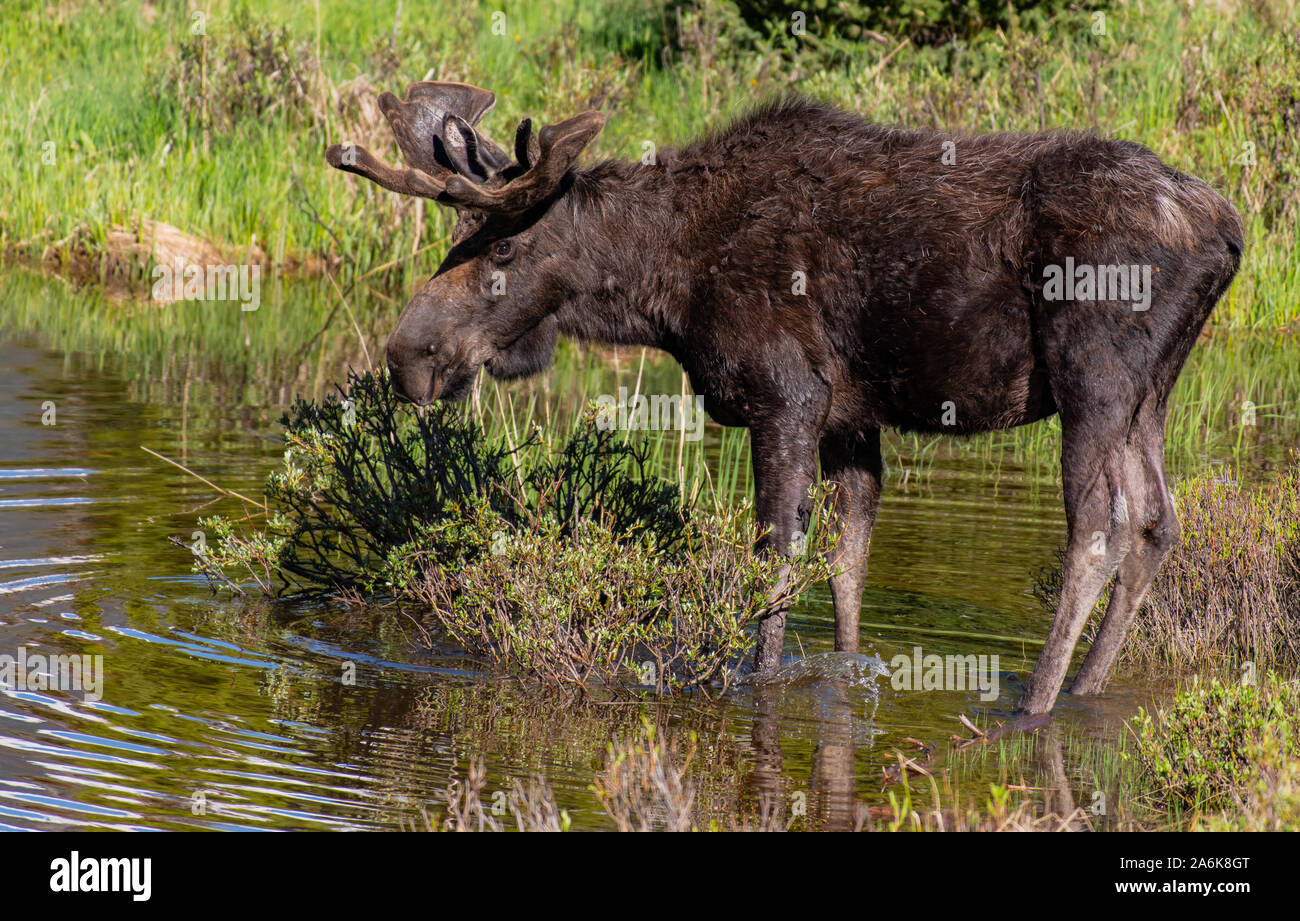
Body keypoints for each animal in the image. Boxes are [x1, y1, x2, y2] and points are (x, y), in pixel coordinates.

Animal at [325, 80, 1237, 712]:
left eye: (506, 247)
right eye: (455, 238)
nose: (409, 355)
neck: (664, 287)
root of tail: (1228, 231)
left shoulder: (785, 396)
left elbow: (775, 562)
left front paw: (752, 681)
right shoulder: (850, 418)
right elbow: (845, 566)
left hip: (1095, 374)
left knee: (1099, 529)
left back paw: (1037, 702)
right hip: (1151, 392)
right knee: (1158, 522)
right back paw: (1085, 690)